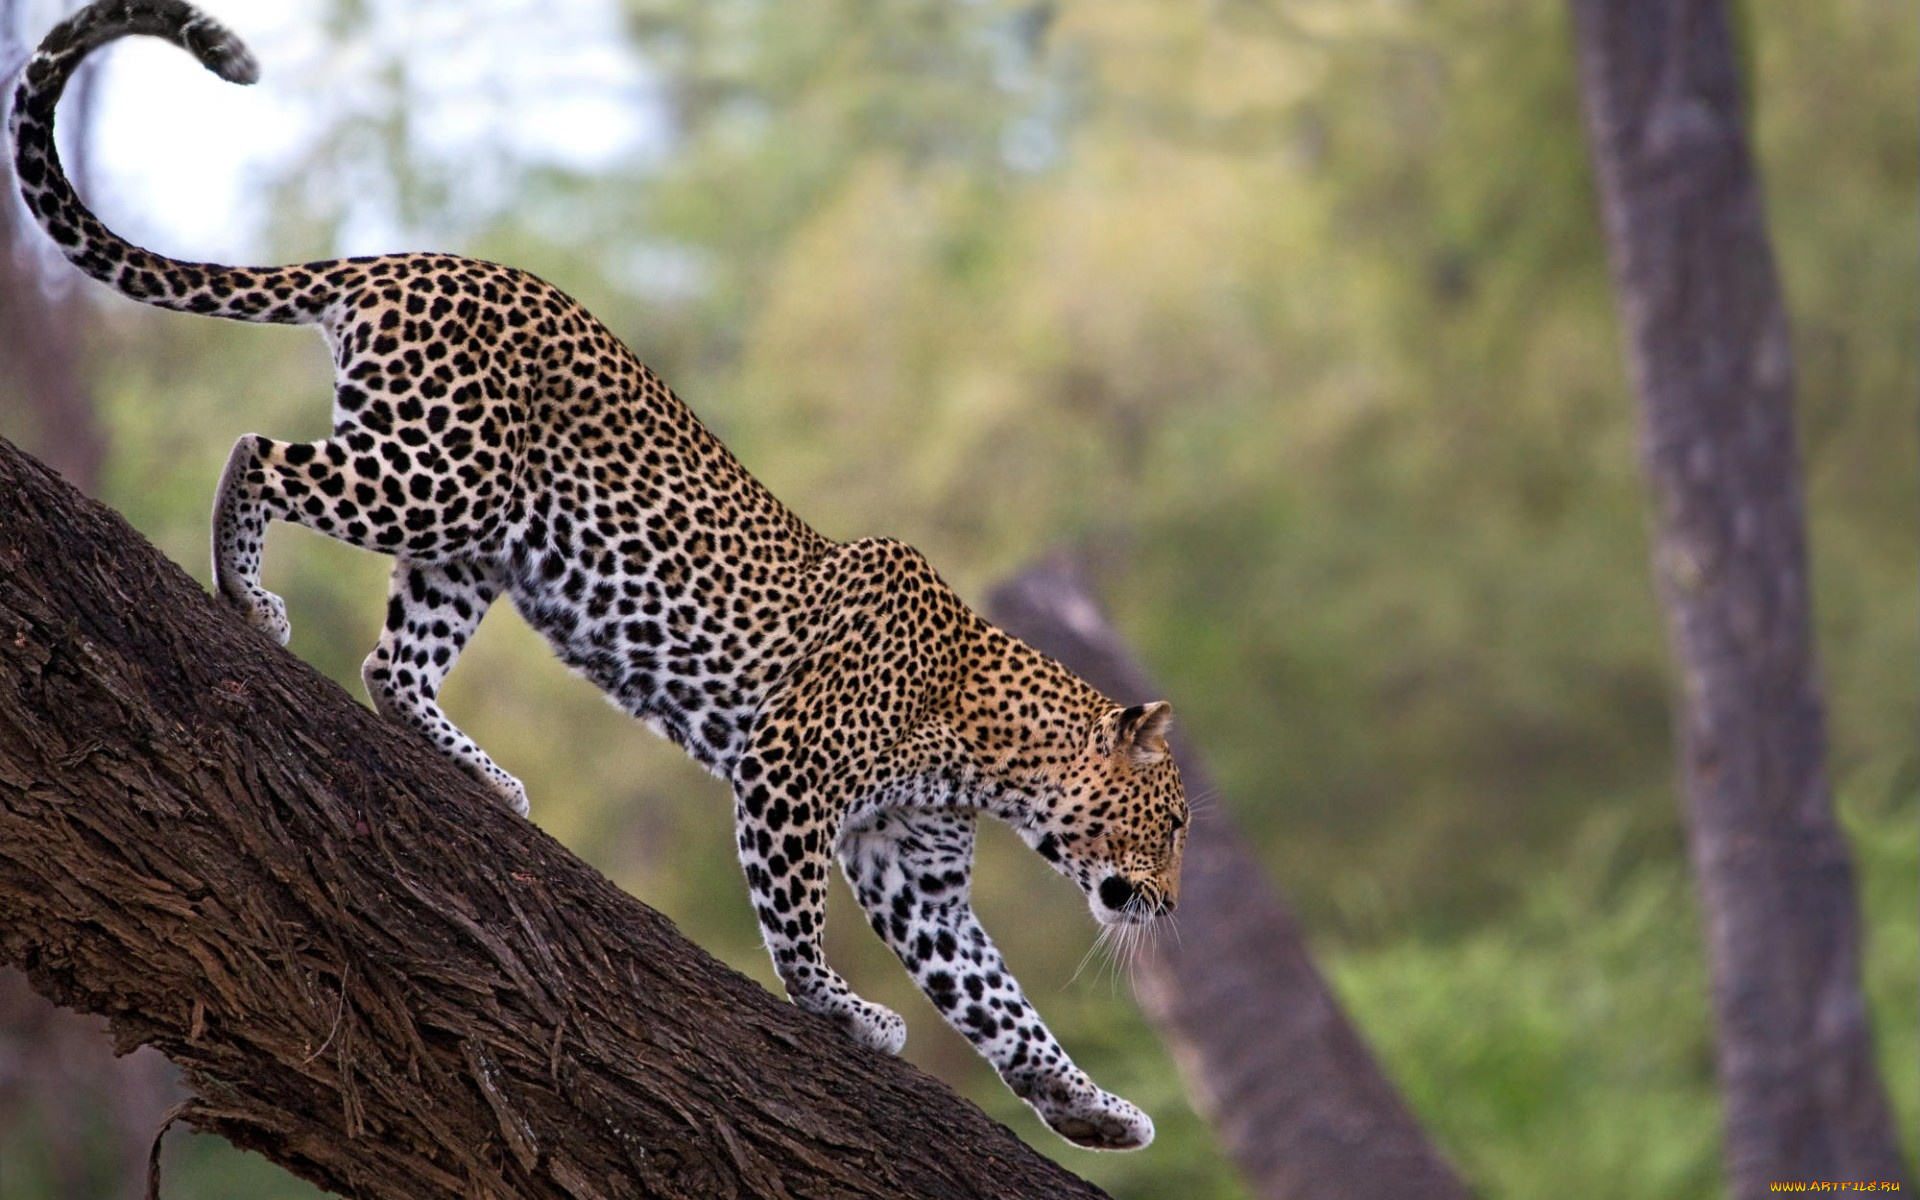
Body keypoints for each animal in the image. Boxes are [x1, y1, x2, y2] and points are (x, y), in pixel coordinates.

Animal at [10, 0, 1189, 1151]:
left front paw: (1088, 1107)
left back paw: (480, 776)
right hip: (438, 477)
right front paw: (841, 1011)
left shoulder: (916, 876)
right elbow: (798, 923)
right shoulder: (788, 775)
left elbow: (999, 1000)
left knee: (393, 664)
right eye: (1175, 825)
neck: (990, 754)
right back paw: (246, 594)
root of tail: (410, 261)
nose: (1172, 907)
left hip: (476, 545)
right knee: (258, 453)